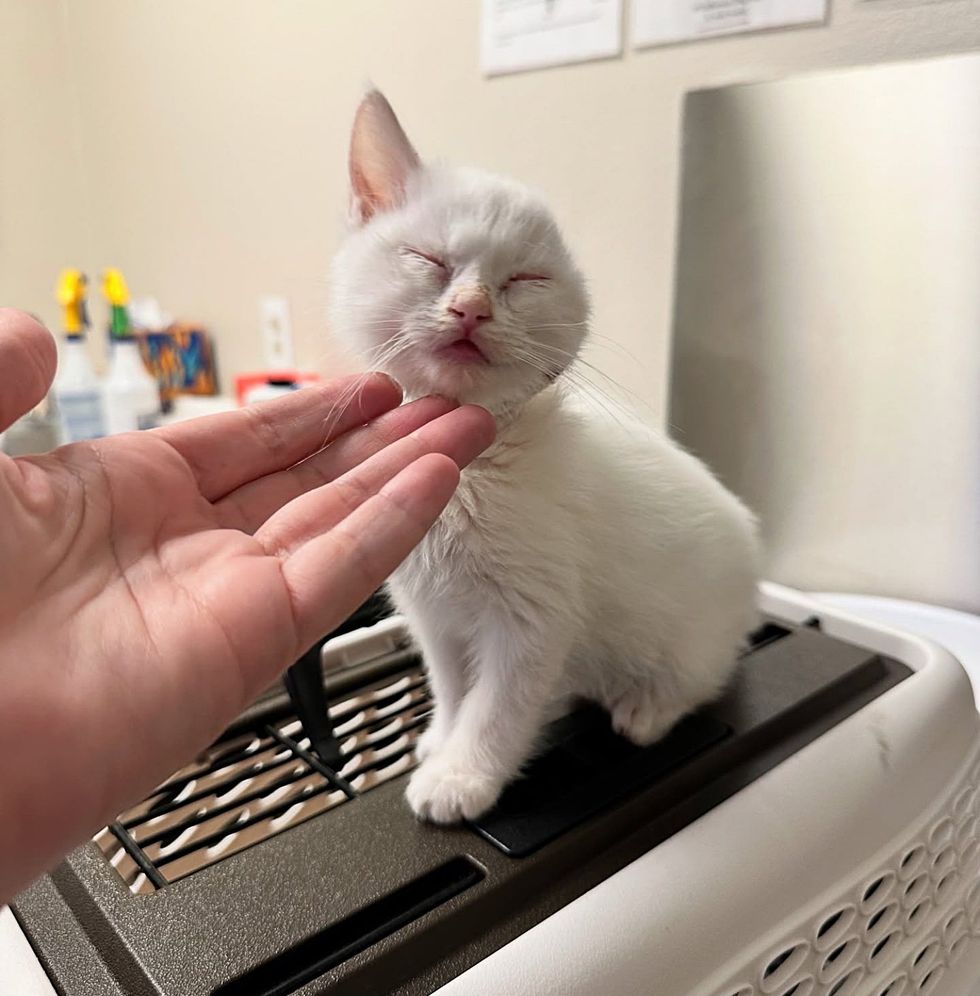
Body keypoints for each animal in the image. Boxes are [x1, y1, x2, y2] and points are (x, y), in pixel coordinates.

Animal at [330, 93, 756, 824]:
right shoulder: (435, 616)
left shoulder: (532, 619)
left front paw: (462, 776)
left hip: (692, 635)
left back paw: (646, 707)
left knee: (700, 677)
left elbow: (499, 706)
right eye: (427, 259)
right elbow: (452, 685)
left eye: (524, 280)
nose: (471, 309)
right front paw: (442, 737)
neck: (471, 467)